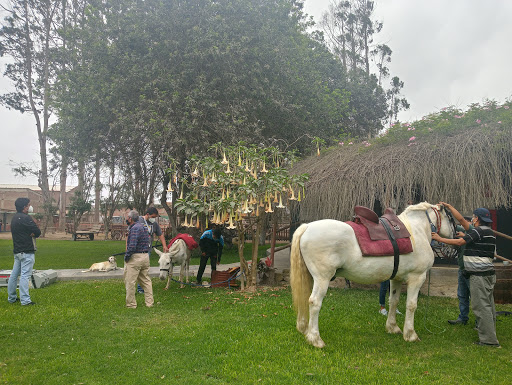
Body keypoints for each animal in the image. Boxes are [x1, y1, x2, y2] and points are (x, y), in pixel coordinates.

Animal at [290, 201, 454, 348]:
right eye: (451, 218)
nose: (455, 235)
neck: (416, 231)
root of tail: (307, 226)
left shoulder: (396, 279)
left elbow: (393, 301)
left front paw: (392, 327)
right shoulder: (417, 277)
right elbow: (411, 305)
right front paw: (410, 334)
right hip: (322, 279)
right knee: (314, 302)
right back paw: (315, 339)